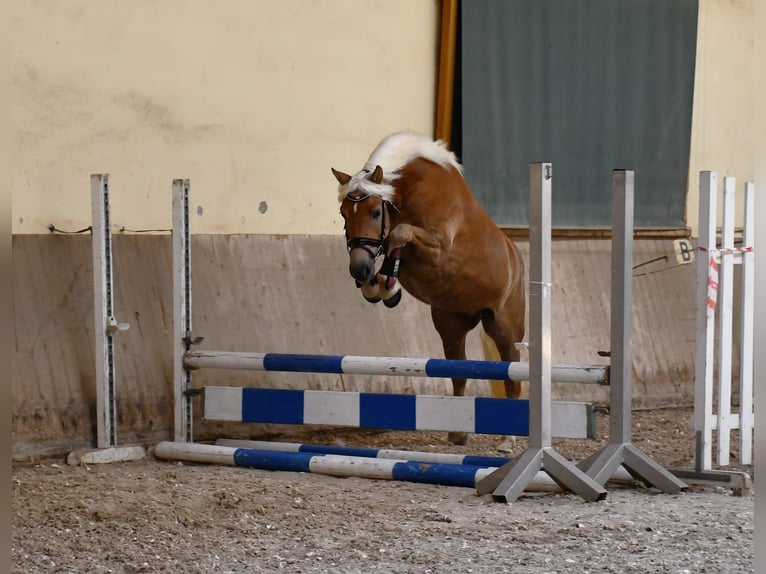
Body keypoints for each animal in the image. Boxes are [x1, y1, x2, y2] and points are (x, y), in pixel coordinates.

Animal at [332, 132, 524, 446]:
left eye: (375, 212)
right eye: (344, 213)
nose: (358, 269)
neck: (408, 189)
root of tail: (515, 256)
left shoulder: (437, 246)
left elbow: (398, 236)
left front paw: (387, 285)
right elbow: (391, 250)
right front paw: (378, 287)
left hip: (504, 327)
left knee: (512, 373)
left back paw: (508, 438)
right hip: (451, 325)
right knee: (459, 372)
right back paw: (458, 433)